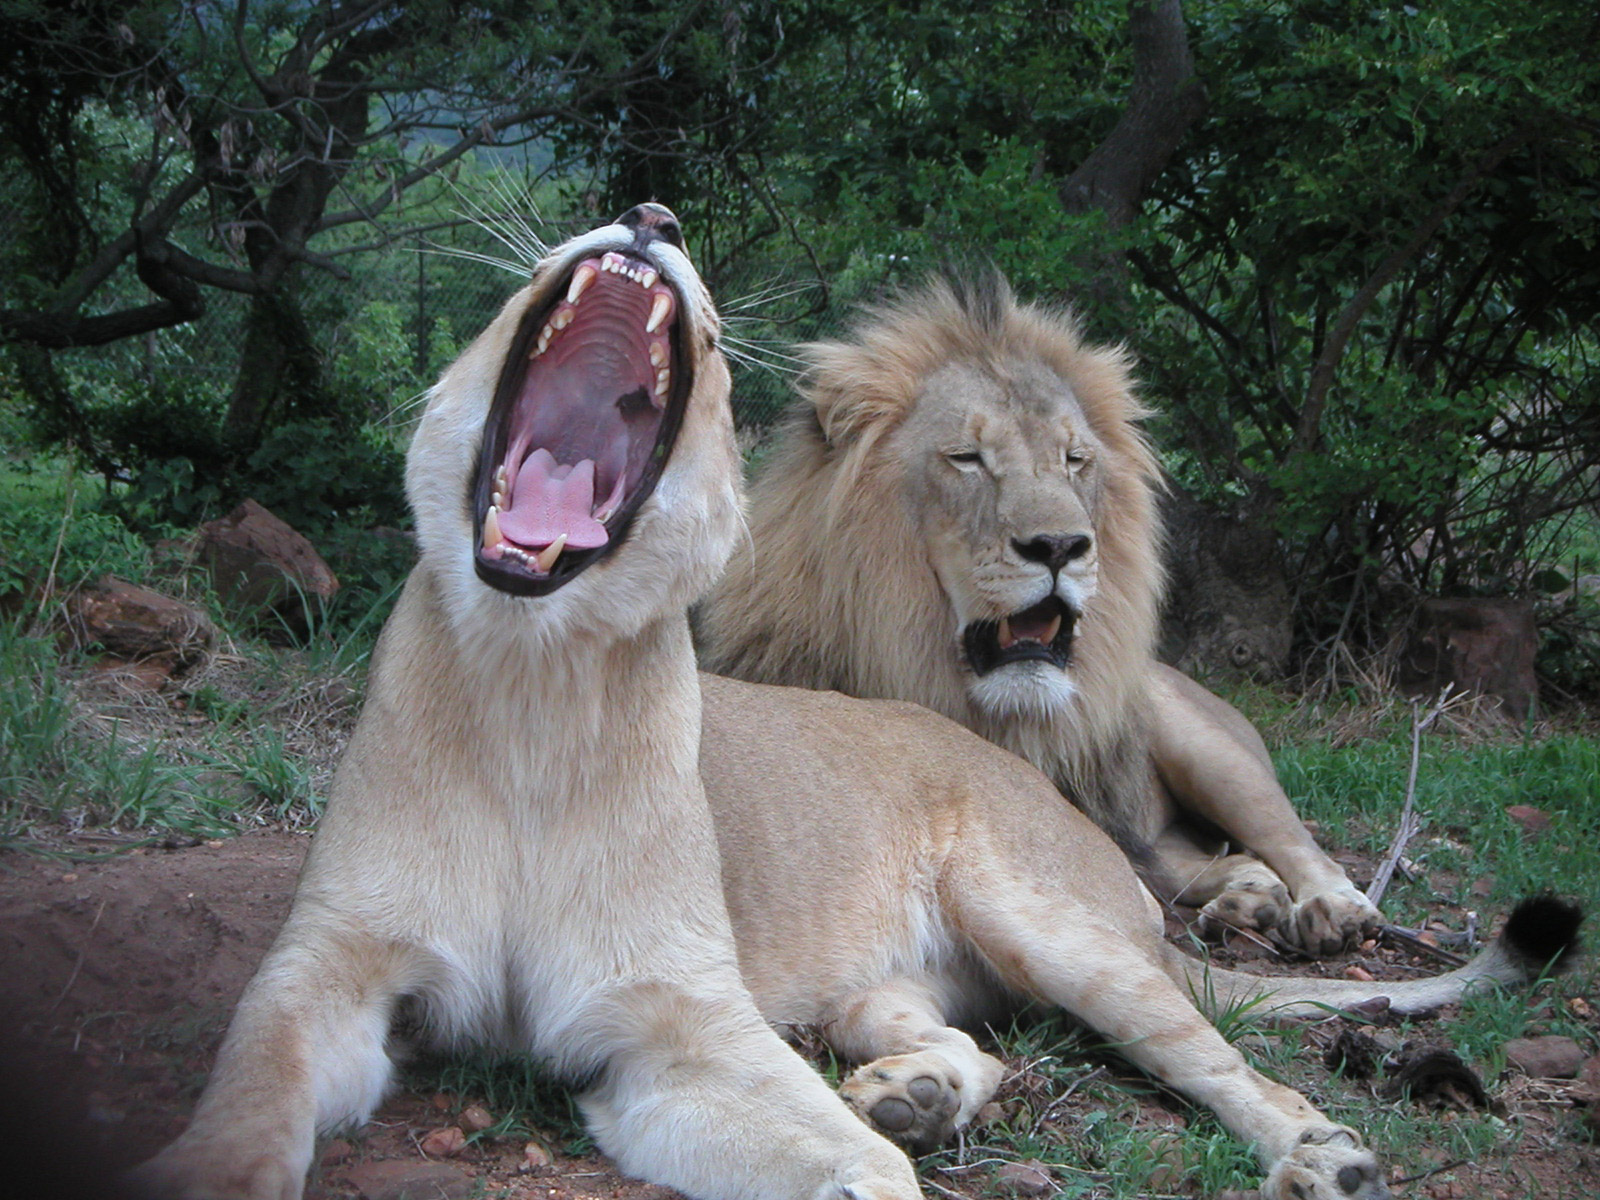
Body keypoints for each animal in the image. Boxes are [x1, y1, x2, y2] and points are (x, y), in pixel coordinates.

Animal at [704, 275, 1388, 960]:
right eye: (966, 457)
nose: (1060, 547)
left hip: (1211, 752)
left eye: (1075, 460)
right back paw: (1247, 904)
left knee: (1295, 843)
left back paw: (1332, 910)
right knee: (1209, 863)